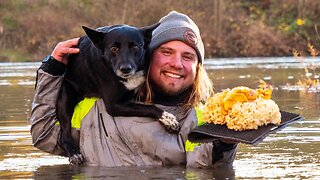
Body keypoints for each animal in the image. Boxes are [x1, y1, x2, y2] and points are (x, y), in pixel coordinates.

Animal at [57, 24, 180, 165]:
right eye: (113, 48)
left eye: (135, 47)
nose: (125, 69)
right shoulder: (113, 105)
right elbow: (148, 107)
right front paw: (169, 119)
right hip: (65, 99)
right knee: (64, 134)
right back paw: (74, 153)